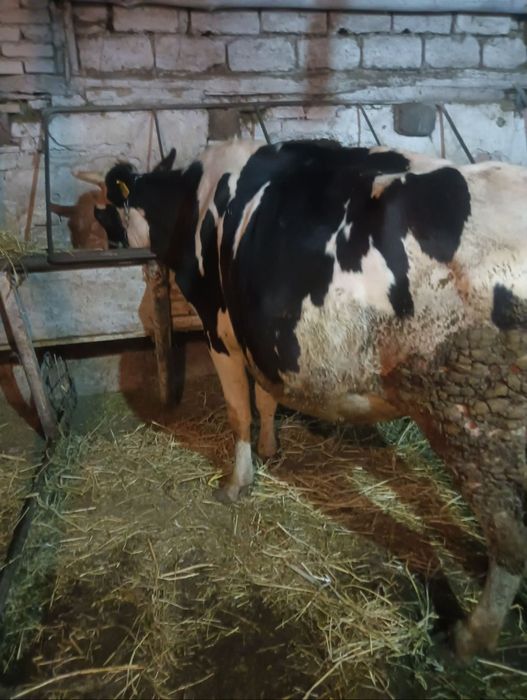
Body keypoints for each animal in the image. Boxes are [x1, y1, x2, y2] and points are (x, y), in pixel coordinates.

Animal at [95, 139, 526, 661]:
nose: (109, 239)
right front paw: (270, 448)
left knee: (510, 538)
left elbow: (238, 411)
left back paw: (470, 636)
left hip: (475, 415)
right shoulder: (261, 336)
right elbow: (265, 399)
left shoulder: (220, 328)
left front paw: (236, 482)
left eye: (112, 208)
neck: (191, 200)